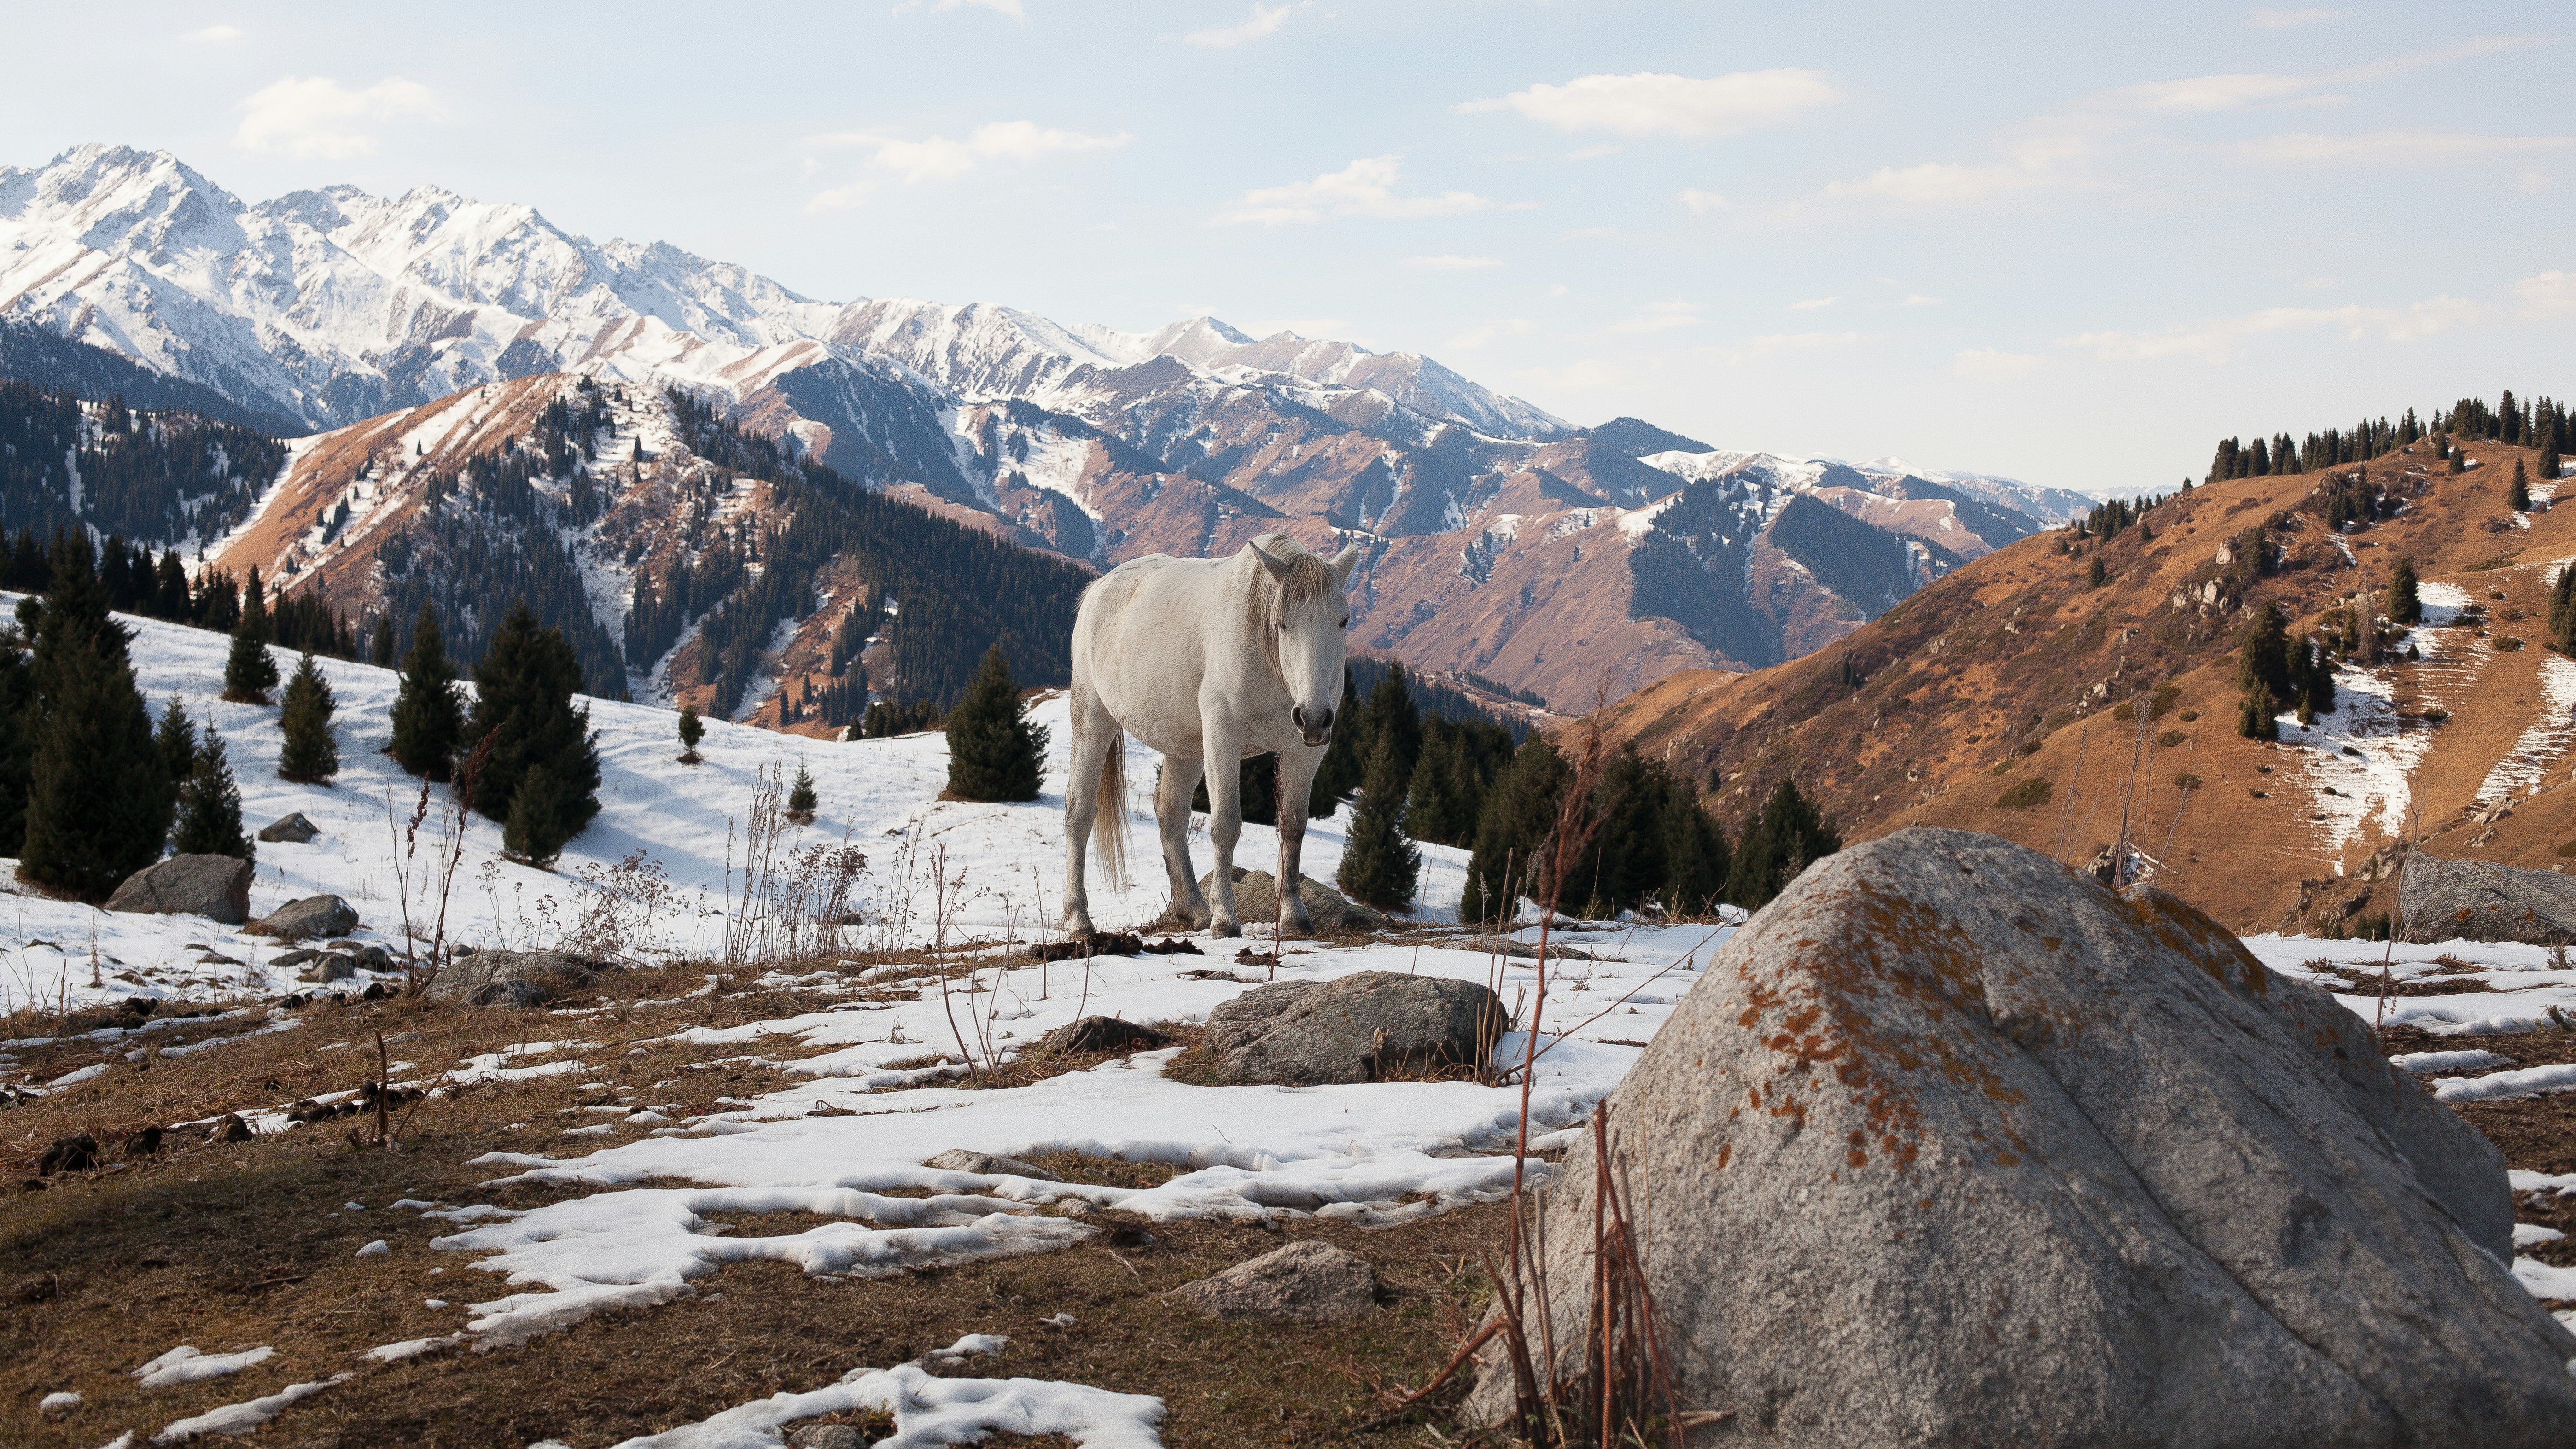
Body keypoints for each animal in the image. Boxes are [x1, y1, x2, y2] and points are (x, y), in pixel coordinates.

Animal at [1061, 533, 1361, 939]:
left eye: (1343, 620)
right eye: (1282, 624)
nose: (1313, 715)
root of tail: (1096, 590)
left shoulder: (1305, 750)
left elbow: (1294, 826)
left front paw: (1294, 916)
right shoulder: (1223, 734)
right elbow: (1226, 824)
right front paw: (1225, 920)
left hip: (1184, 747)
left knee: (1170, 812)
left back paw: (1194, 908)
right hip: (1093, 724)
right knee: (1079, 813)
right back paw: (1080, 919)